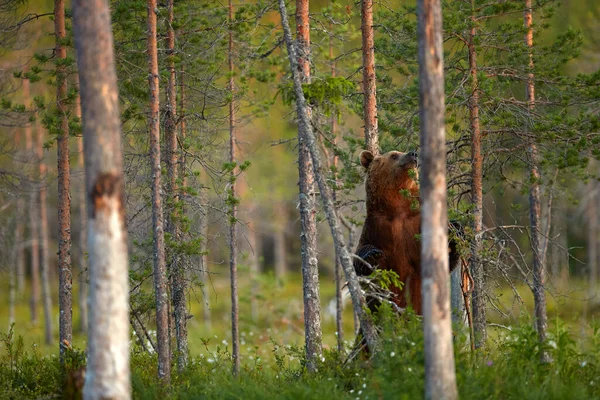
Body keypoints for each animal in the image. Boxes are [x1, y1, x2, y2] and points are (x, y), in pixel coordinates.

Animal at [352, 150, 460, 316]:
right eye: (393, 155)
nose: (413, 153)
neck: (399, 210)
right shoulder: (376, 229)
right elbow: (361, 264)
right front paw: (371, 254)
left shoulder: (416, 228)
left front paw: (454, 229)